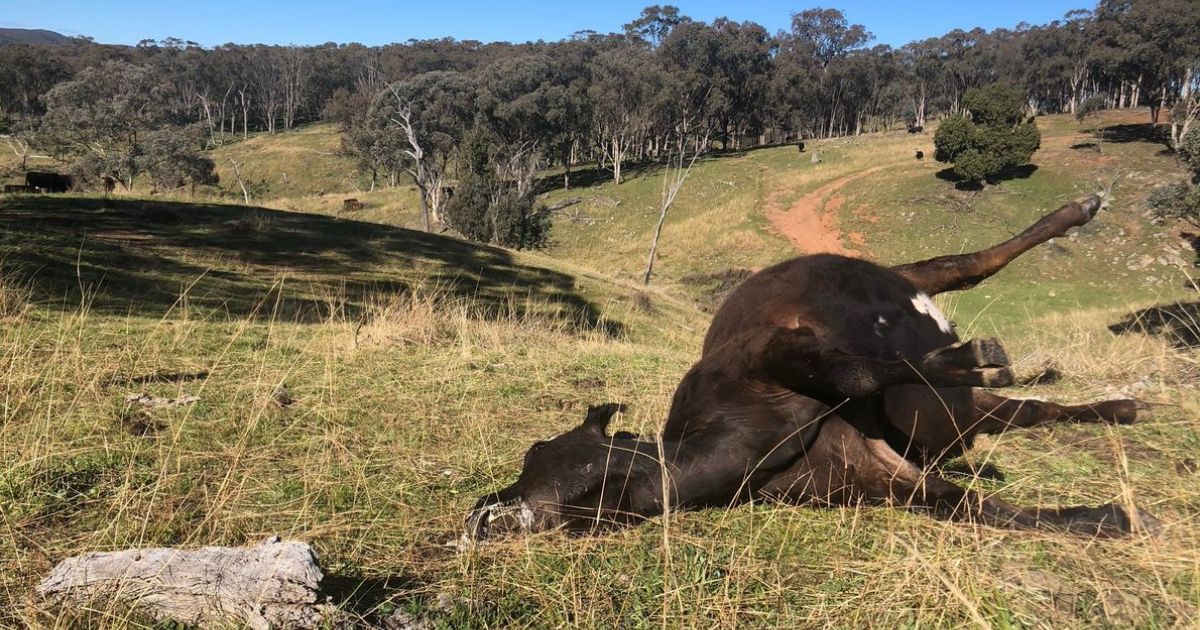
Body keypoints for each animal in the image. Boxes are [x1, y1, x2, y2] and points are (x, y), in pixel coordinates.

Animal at [470, 193, 1161, 540]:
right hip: (969, 417)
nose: (483, 519)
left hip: (911, 276)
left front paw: (964, 357)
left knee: (972, 262)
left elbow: (858, 374)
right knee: (1026, 411)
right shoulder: (875, 476)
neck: (741, 443)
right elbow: (975, 507)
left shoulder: (770, 353)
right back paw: (1113, 404)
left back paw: (1073, 217)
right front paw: (1108, 518)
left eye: (547, 460)